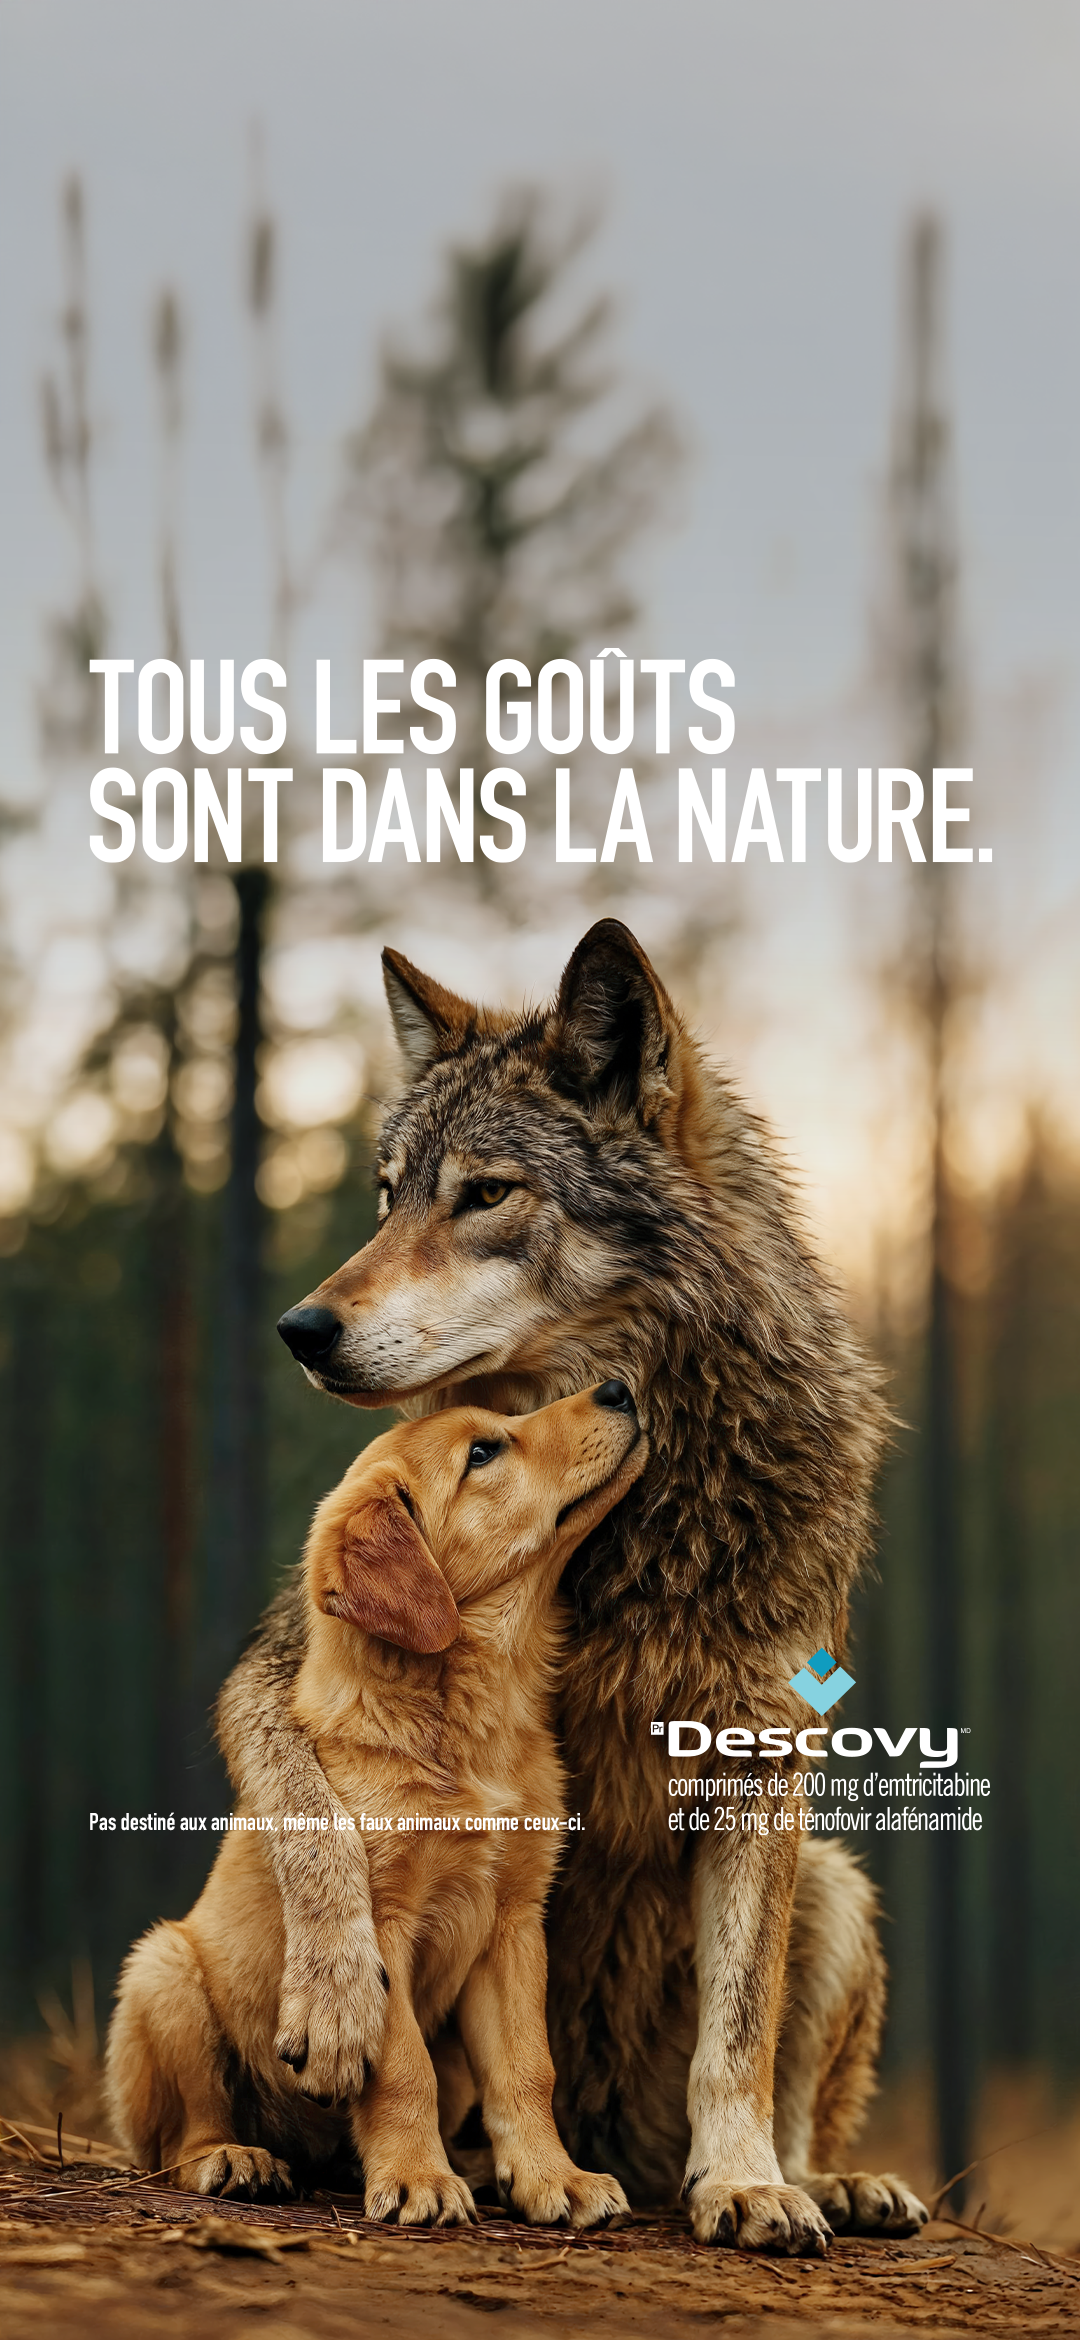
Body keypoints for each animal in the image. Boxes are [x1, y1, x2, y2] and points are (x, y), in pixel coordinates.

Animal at [216, 919, 926, 2253]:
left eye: (486, 1193)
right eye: (388, 1195)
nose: (299, 1330)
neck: (628, 1539)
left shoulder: (761, 1747)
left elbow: (739, 2032)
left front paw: (746, 2184)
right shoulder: (277, 1666)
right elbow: (313, 1817)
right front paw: (338, 1996)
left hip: (835, 1884)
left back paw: (825, 2182)